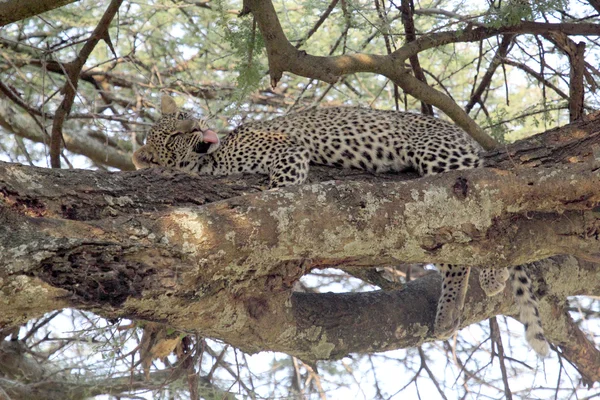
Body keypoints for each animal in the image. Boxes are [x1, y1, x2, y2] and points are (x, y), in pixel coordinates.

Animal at [134, 94, 552, 356]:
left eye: (186, 115)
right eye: (176, 133)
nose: (198, 122)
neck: (210, 161)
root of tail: (463, 134)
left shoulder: (287, 151)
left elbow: (275, 196)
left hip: (440, 160)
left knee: (481, 210)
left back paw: (491, 276)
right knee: (458, 248)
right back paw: (450, 309)